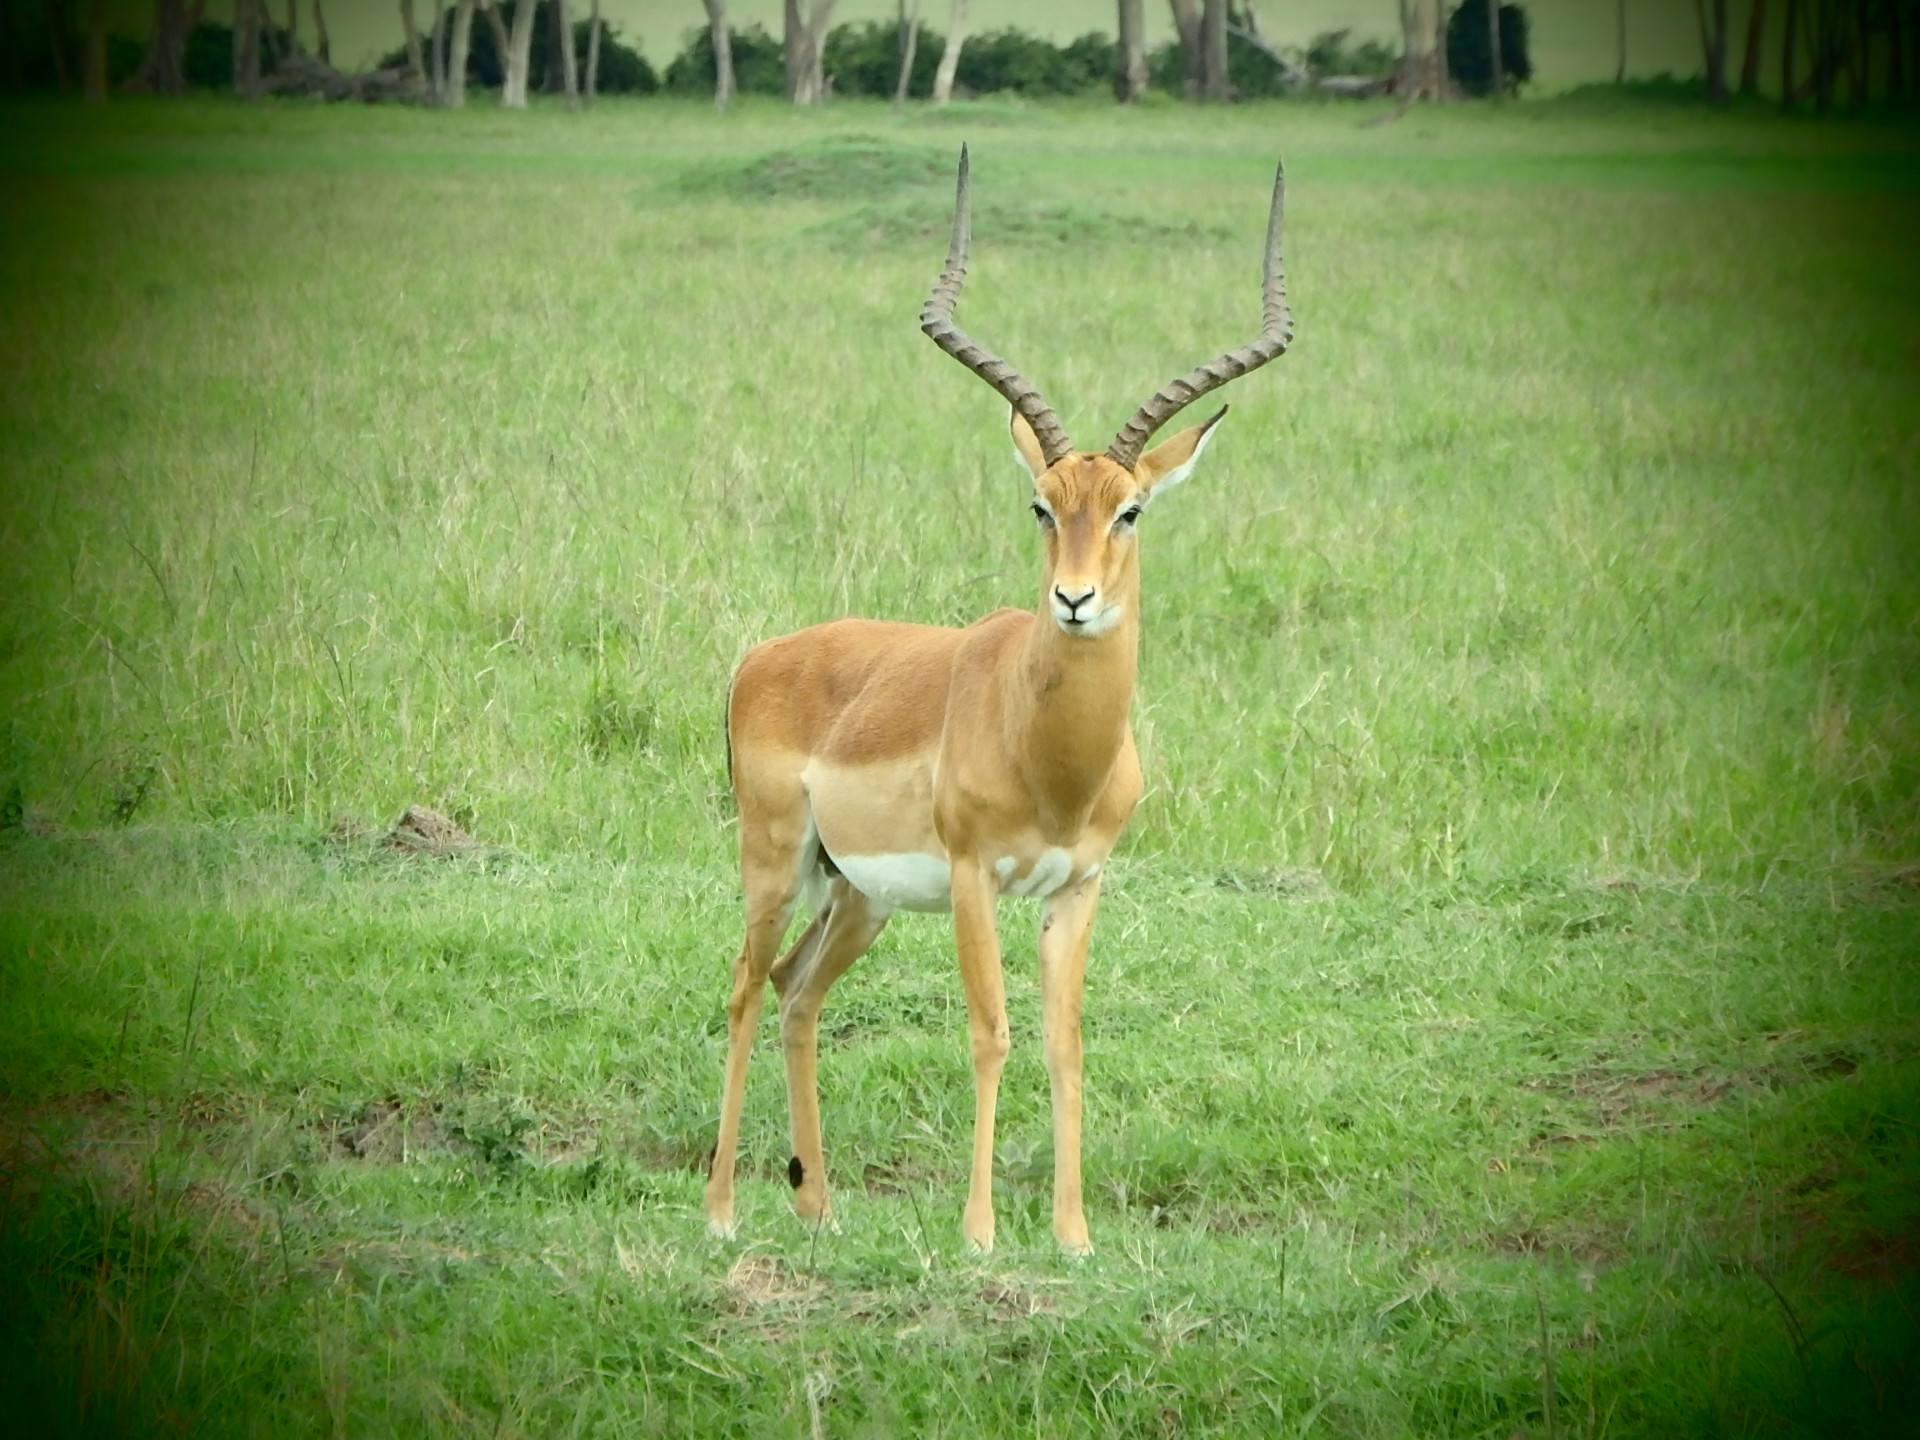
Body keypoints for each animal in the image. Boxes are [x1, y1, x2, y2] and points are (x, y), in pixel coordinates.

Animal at [703, 147, 1293, 1255]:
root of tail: (762, 657)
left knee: (798, 993)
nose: (1075, 599)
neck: (1047, 751)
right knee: (745, 989)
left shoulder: (1079, 885)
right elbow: (990, 1031)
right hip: (775, 861)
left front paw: (1073, 1235)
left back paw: (818, 1205)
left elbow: (1064, 1044)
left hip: (858, 894)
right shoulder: (977, 875)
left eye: (1130, 509)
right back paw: (719, 1211)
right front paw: (979, 1234)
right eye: (1041, 505)